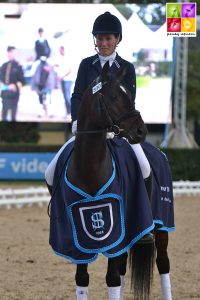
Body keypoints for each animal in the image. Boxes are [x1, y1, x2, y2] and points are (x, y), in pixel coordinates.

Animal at [45, 62, 175, 298]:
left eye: (130, 94)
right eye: (113, 96)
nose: (141, 131)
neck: (90, 168)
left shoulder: (117, 229)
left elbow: (112, 278)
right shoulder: (77, 239)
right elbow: (82, 279)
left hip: (161, 226)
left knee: (163, 263)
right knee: (123, 267)